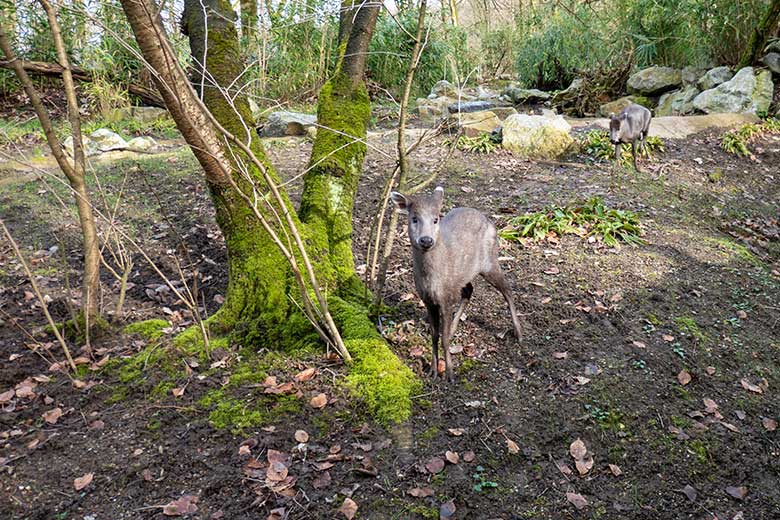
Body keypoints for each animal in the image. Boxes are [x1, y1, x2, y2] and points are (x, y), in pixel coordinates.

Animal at [390, 187, 524, 382]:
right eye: (414, 218)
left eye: (436, 219)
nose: (426, 240)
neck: (432, 280)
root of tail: (490, 222)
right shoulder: (428, 300)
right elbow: (434, 335)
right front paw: (432, 370)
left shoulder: (446, 299)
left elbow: (444, 339)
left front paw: (450, 374)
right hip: (464, 274)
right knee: (469, 290)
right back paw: (454, 327)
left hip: (490, 262)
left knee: (507, 289)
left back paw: (519, 333)